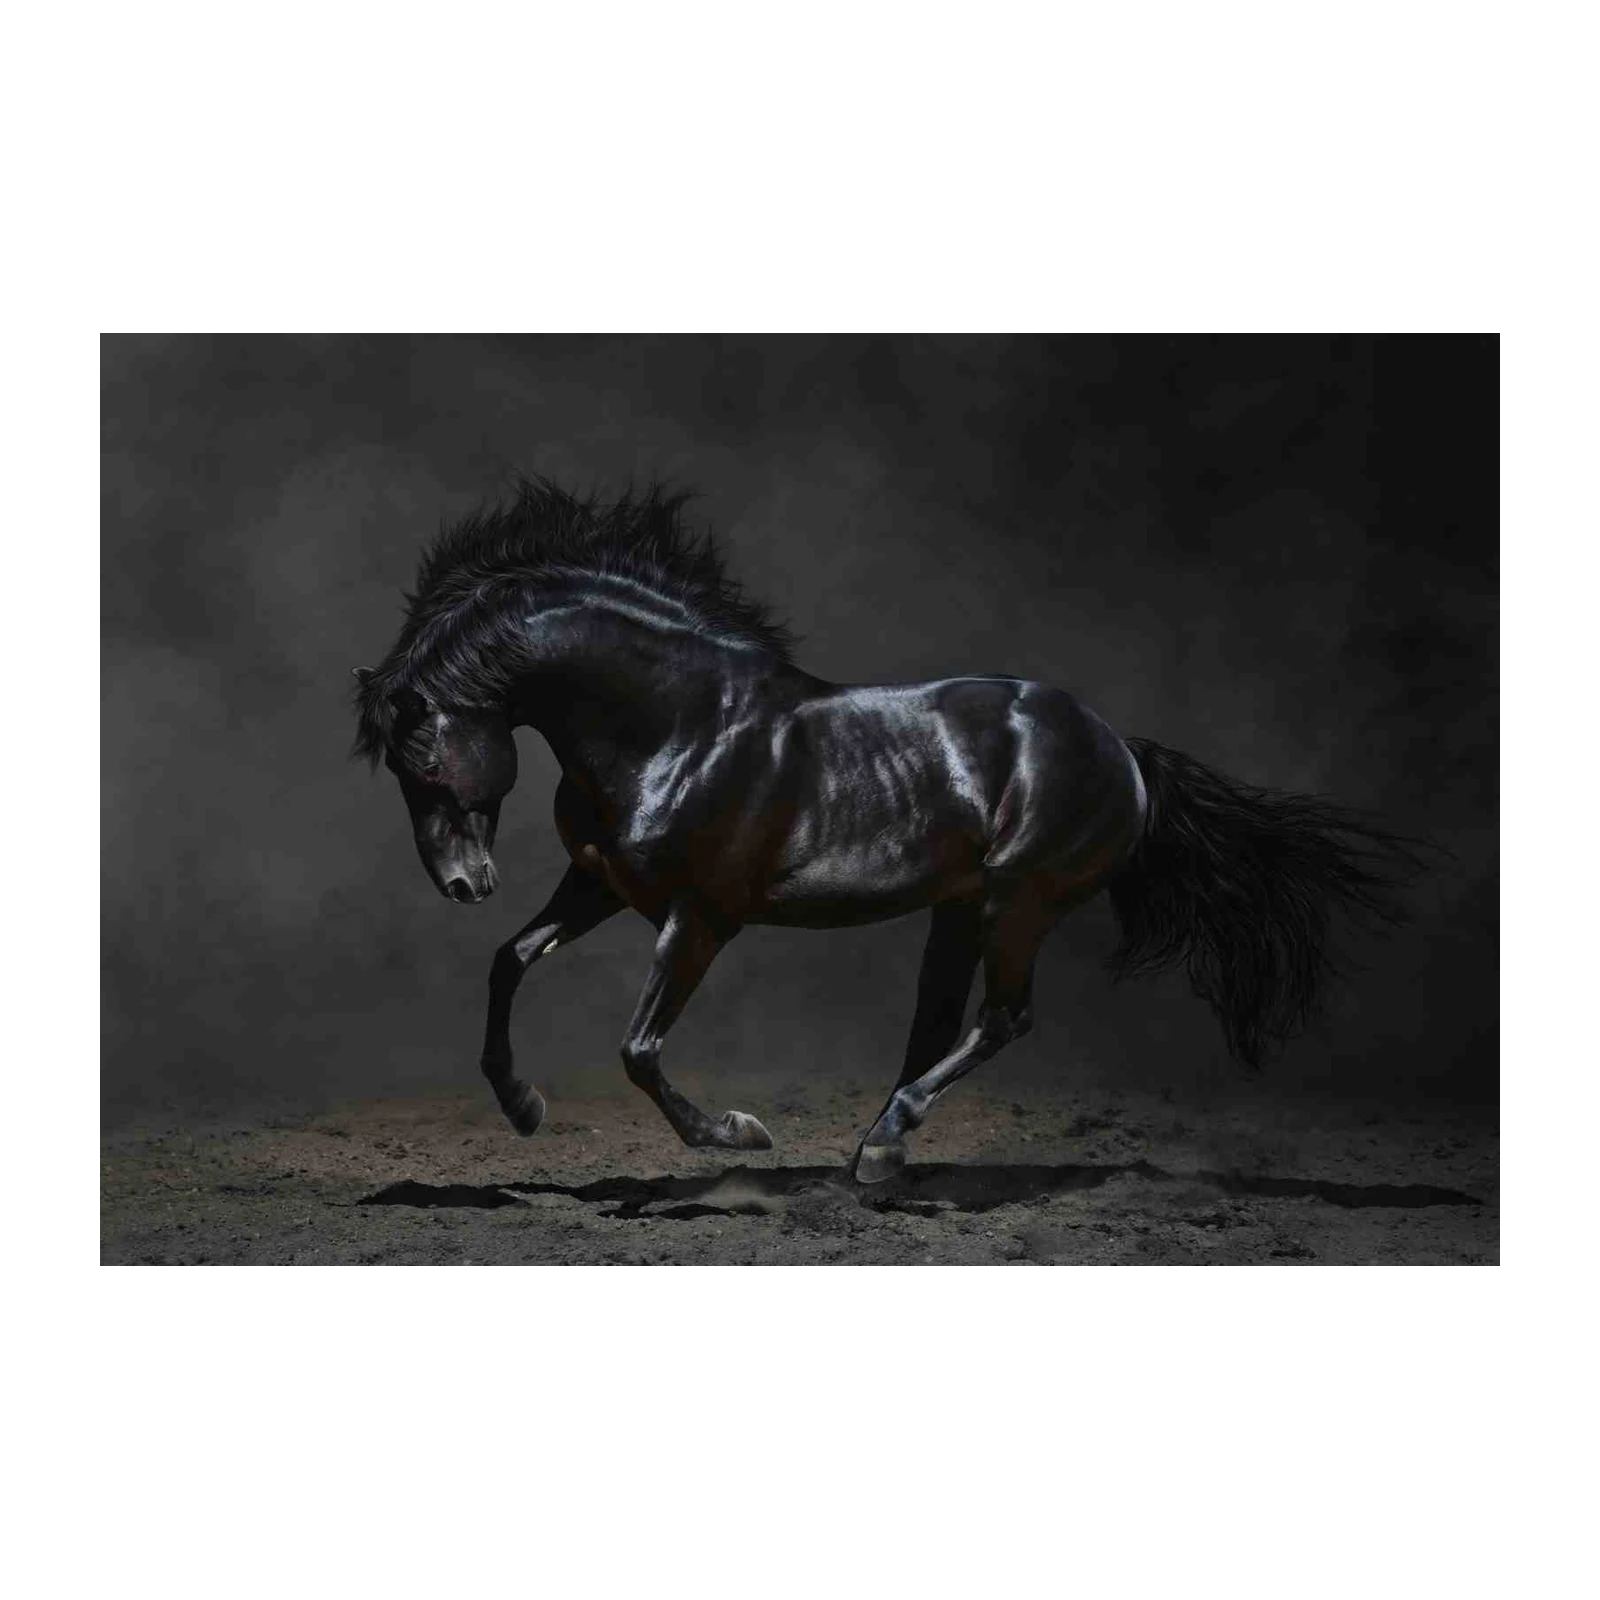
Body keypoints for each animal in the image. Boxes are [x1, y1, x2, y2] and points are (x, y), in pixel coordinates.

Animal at [352, 477, 1432, 1183]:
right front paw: (523, 1106)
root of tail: (1121, 748)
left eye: (423, 761)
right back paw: (877, 1151)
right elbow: (509, 961)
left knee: (1002, 1019)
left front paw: (737, 1135)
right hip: (961, 907)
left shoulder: (700, 917)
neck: (678, 724)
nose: (462, 882)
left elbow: (640, 1048)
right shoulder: (602, 886)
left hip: (1020, 902)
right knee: (938, 1023)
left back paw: (881, 1146)